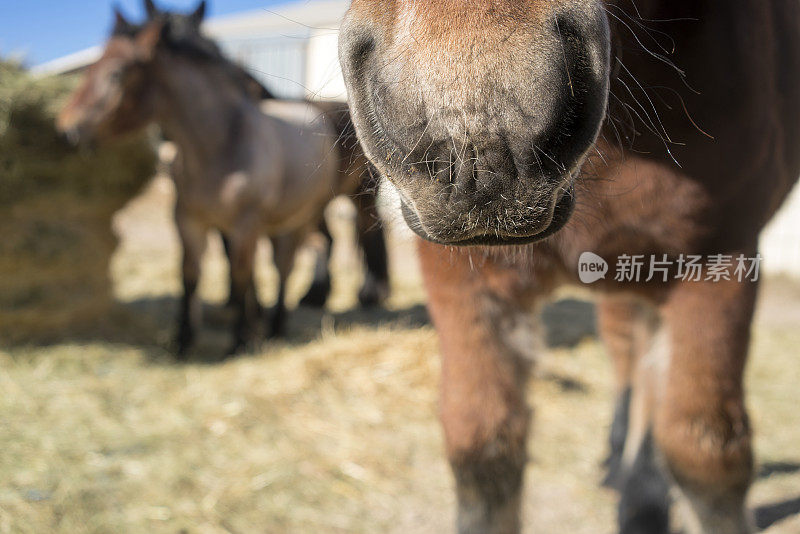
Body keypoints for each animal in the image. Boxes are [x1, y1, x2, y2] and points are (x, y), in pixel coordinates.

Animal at [57, 2, 390, 358]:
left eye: (117, 73)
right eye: (92, 67)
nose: (68, 129)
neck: (220, 147)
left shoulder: (244, 225)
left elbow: (241, 274)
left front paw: (241, 340)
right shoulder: (188, 221)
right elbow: (190, 275)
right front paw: (183, 340)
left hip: (308, 215)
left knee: (291, 263)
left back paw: (284, 324)